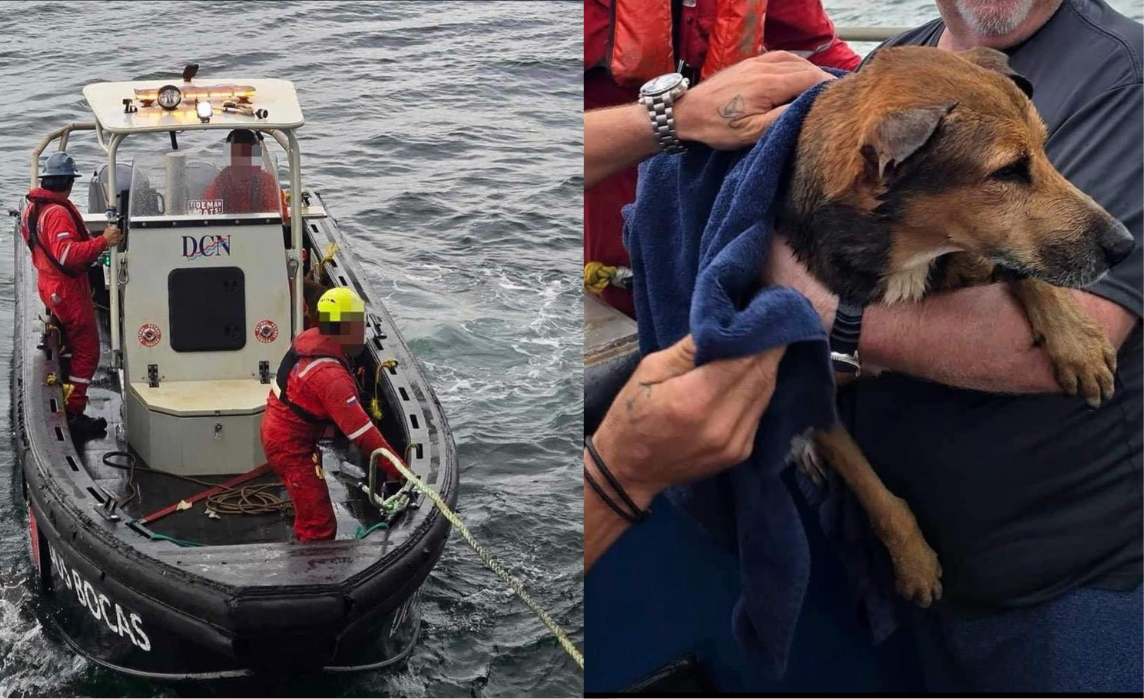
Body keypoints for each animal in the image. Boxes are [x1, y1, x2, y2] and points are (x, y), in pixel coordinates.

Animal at [768, 46, 1134, 608]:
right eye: (1009, 170)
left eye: (1044, 151)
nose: (1125, 246)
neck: (905, 254)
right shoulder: (822, 392)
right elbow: (875, 494)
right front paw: (914, 564)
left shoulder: (976, 253)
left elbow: (1022, 269)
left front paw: (1076, 338)